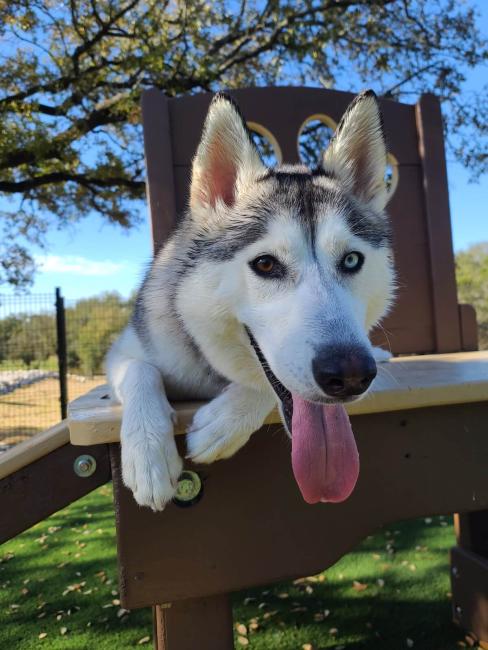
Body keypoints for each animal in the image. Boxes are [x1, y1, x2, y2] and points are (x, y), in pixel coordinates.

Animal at [105, 87, 394, 512]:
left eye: (352, 260)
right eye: (266, 264)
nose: (352, 374)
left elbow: (260, 383)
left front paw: (226, 421)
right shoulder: (124, 353)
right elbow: (140, 371)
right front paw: (148, 454)